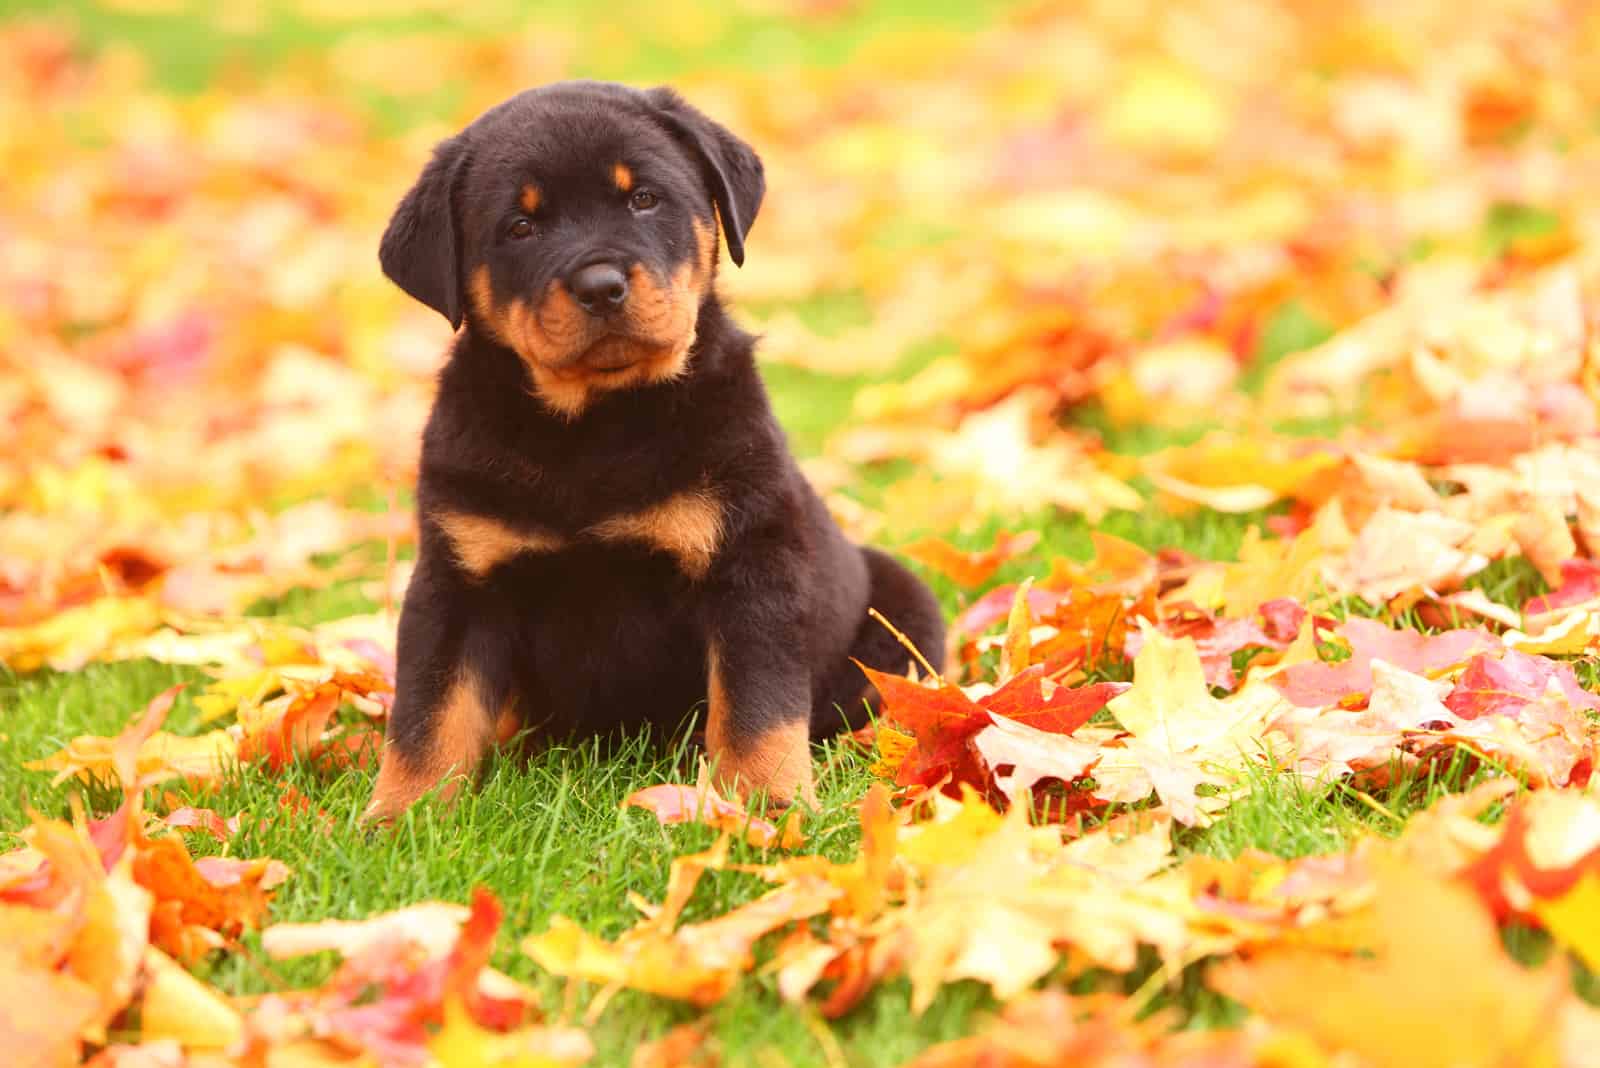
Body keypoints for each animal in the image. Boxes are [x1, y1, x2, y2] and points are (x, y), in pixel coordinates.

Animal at [363, 81, 947, 824]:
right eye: (520, 227)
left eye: (643, 198)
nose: (601, 285)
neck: (595, 428)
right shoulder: (458, 578)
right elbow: (428, 716)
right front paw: (397, 820)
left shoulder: (747, 562)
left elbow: (756, 708)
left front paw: (764, 808)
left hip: (903, 605)